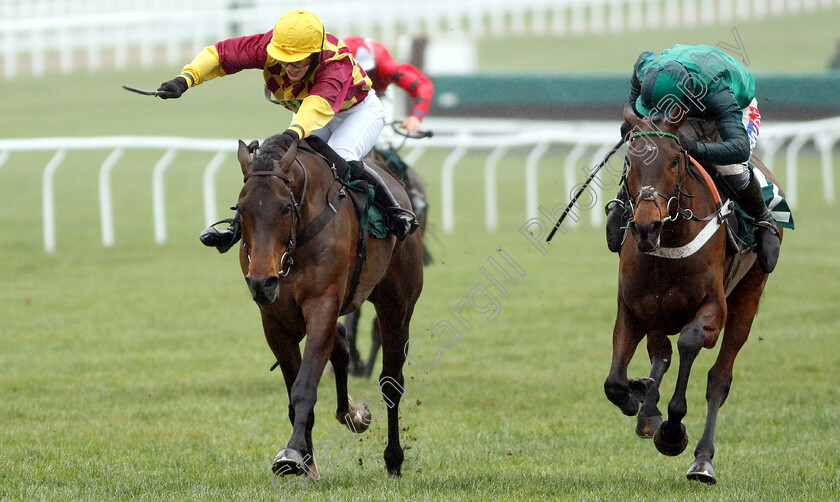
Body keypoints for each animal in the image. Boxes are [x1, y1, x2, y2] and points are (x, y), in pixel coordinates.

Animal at [233, 133, 424, 478]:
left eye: (285, 208)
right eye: (241, 209)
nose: (261, 282)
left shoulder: (322, 303)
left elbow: (305, 384)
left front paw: (293, 453)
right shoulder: (275, 319)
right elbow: (294, 388)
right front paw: (306, 458)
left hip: (397, 304)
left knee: (392, 382)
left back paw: (393, 458)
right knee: (342, 343)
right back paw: (352, 413)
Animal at [604, 104, 780, 484]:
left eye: (674, 160)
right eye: (629, 160)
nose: (645, 226)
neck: (669, 242)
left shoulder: (713, 309)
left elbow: (690, 342)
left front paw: (672, 431)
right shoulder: (632, 308)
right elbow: (615, 382)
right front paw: (635, 396)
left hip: (749, 294)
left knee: (719, 378)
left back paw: (702, 460)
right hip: (657, 311)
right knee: (661, 353)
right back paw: (647, 407)